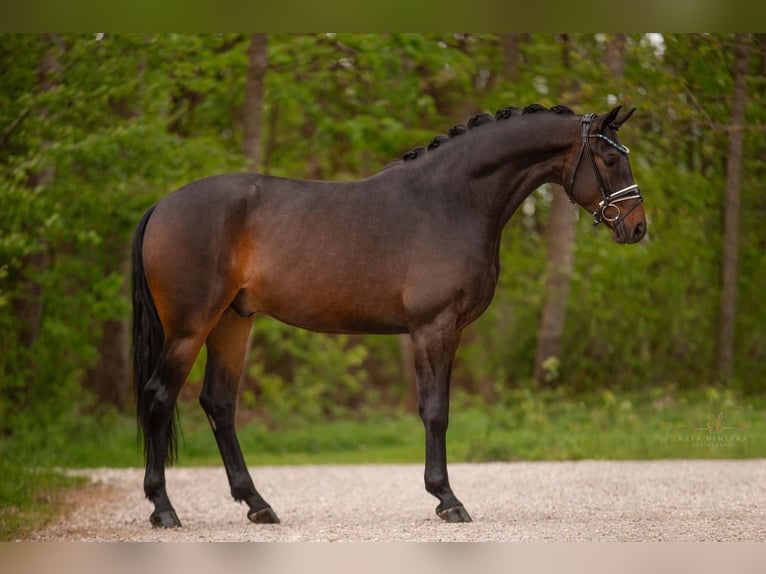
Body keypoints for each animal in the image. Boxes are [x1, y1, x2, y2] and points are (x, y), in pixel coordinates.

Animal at [132, 104, 648, 532]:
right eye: (608, 159)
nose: (638, 226)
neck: (449, 201)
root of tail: (162, 205)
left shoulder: (451, 330)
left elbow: (440, 407)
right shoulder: (432, 327)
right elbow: (434, 411)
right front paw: (447, 500)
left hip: (232, 322)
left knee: (219, 403)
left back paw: (257, 505)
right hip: (190, 328)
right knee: (159, 397)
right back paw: (164, 509)